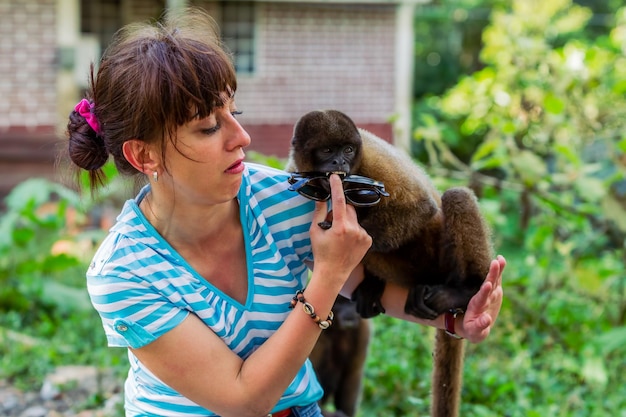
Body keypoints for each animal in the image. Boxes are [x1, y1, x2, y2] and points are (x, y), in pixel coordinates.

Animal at [286, 108, 494, 416]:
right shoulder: (295, 176)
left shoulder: (371, 157)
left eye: (348, 150)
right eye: (327, 150)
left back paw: (468, 289)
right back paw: (375, 285)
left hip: (444, 256)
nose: (340, 162)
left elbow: (420, 206)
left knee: (455, 197)